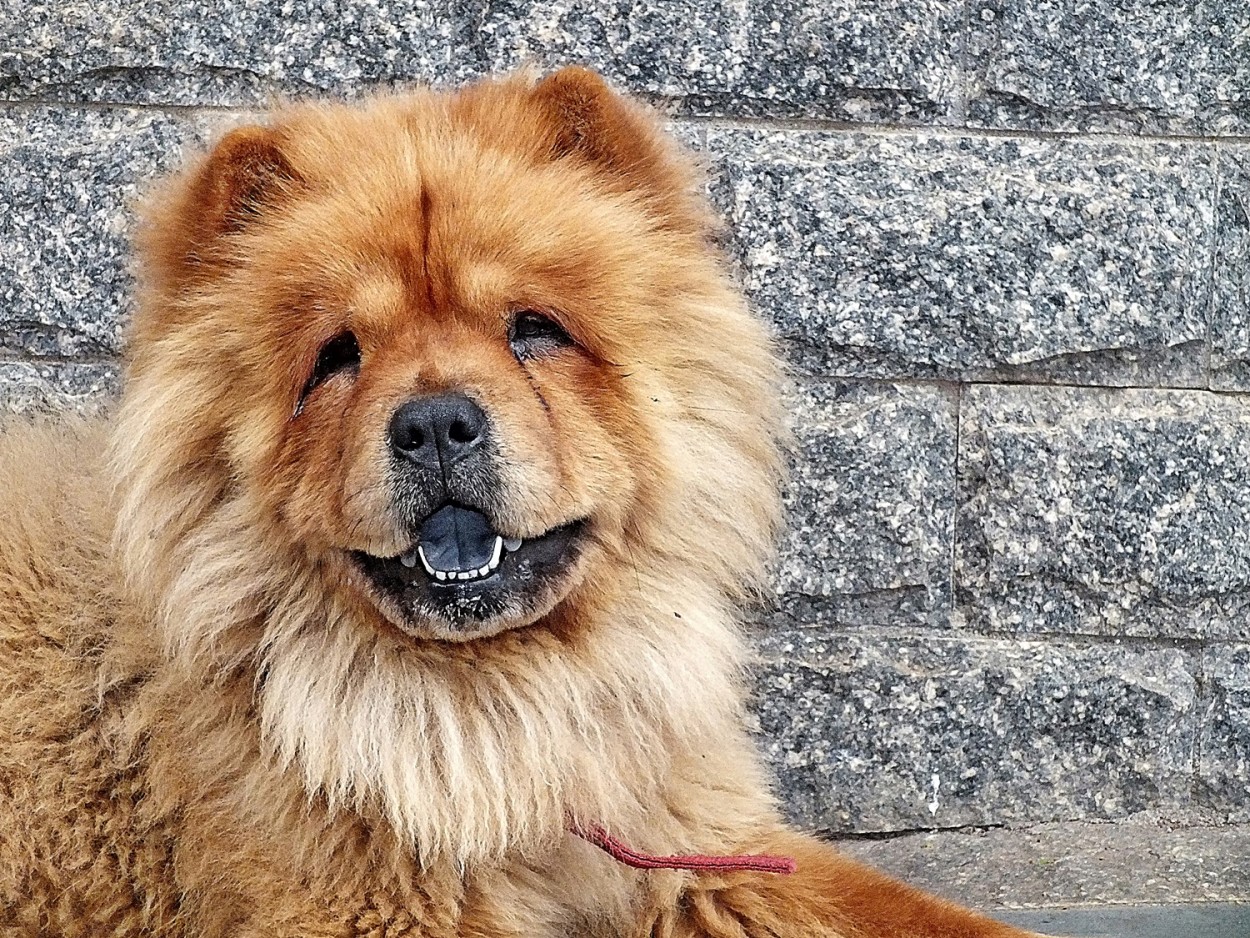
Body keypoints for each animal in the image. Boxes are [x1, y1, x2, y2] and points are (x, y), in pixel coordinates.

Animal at [0, 67, 1035, 938]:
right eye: (336, 357)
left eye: (534, 329)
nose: (435, 423)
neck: (508, 709)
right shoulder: (376, 910)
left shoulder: (694, 847)